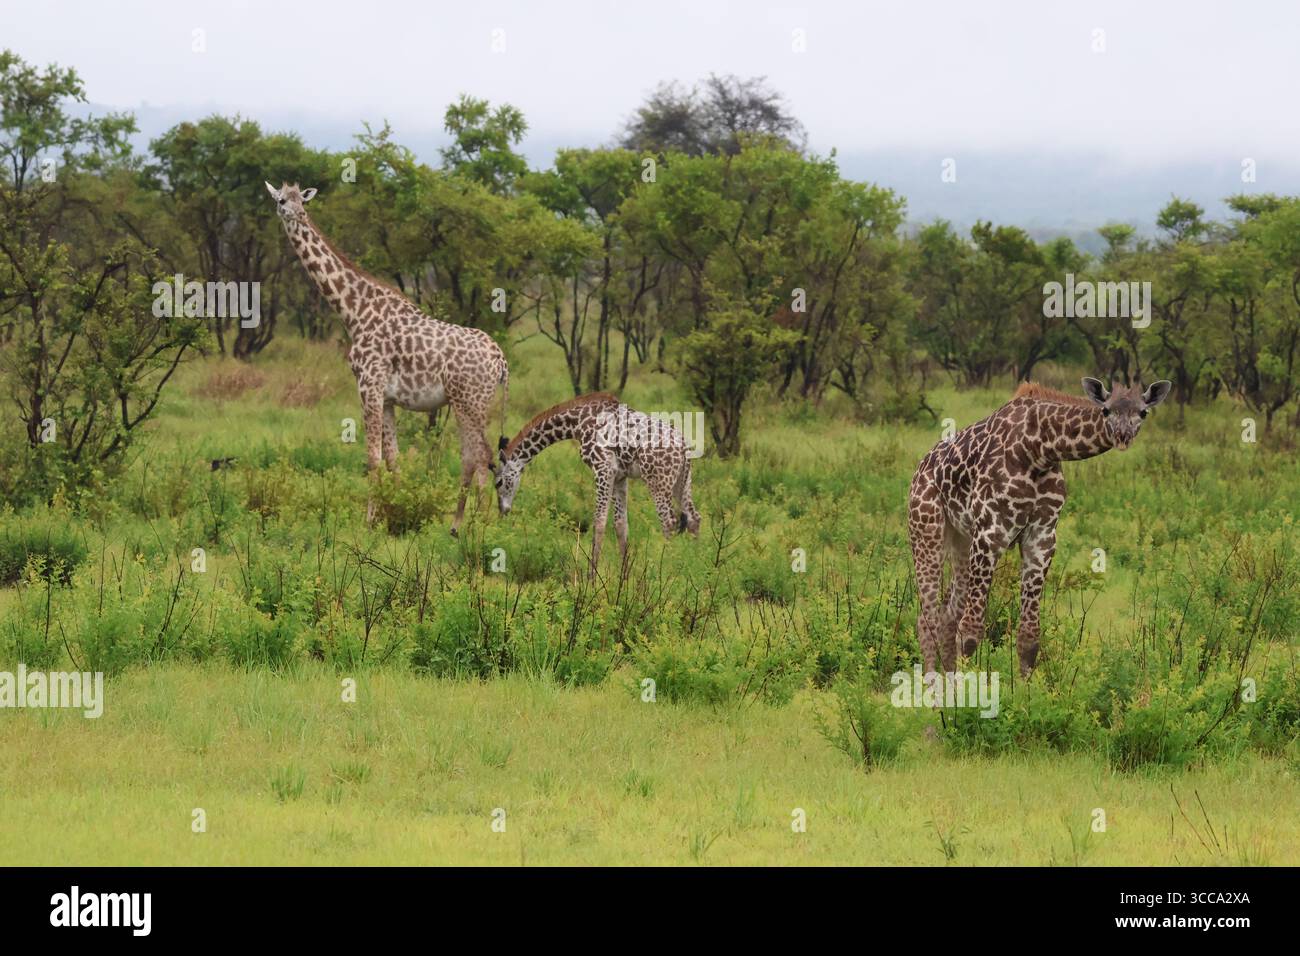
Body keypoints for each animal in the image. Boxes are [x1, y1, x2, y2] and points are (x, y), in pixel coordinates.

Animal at [266, 182, 508, 535]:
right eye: (283, 200)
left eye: (302, 202)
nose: (297, 215)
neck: (353, 312)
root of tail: (501, 361)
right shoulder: (389, 398)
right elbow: (393, 457)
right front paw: (399, 512)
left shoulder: (369, 385)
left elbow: (372, 457)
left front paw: (370, 520)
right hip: (472, 404)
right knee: (476, 455)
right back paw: (470, 521)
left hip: (471, 402)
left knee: (482, 454)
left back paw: (480, 524)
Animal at [493, 393, 702, 578]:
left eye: (498, 483)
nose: (502, 511)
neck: (577, 423)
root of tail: (684, 447)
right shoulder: (619, 477)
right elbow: (620, 525)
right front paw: (623, 577)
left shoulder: (603, 468)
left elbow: (599, 522)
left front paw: (591, 578)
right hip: (682, 482)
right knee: (694, 518)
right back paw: (694, 567)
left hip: (658, 481)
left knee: (669, 522)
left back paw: (665, 569)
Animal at [907, 377, 1172, 677]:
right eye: (1106, 410)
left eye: (1143, 412)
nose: (1122, 437)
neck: (1039, 449)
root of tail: (920, 468)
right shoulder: (990, 533)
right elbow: (972, 631)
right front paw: (969, 690)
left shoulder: (1042, 537)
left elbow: (1030, 637)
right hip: (927, 532)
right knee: (928, 618)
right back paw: (932, 683)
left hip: (961, 541)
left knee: (947, 615)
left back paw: (947, 679)